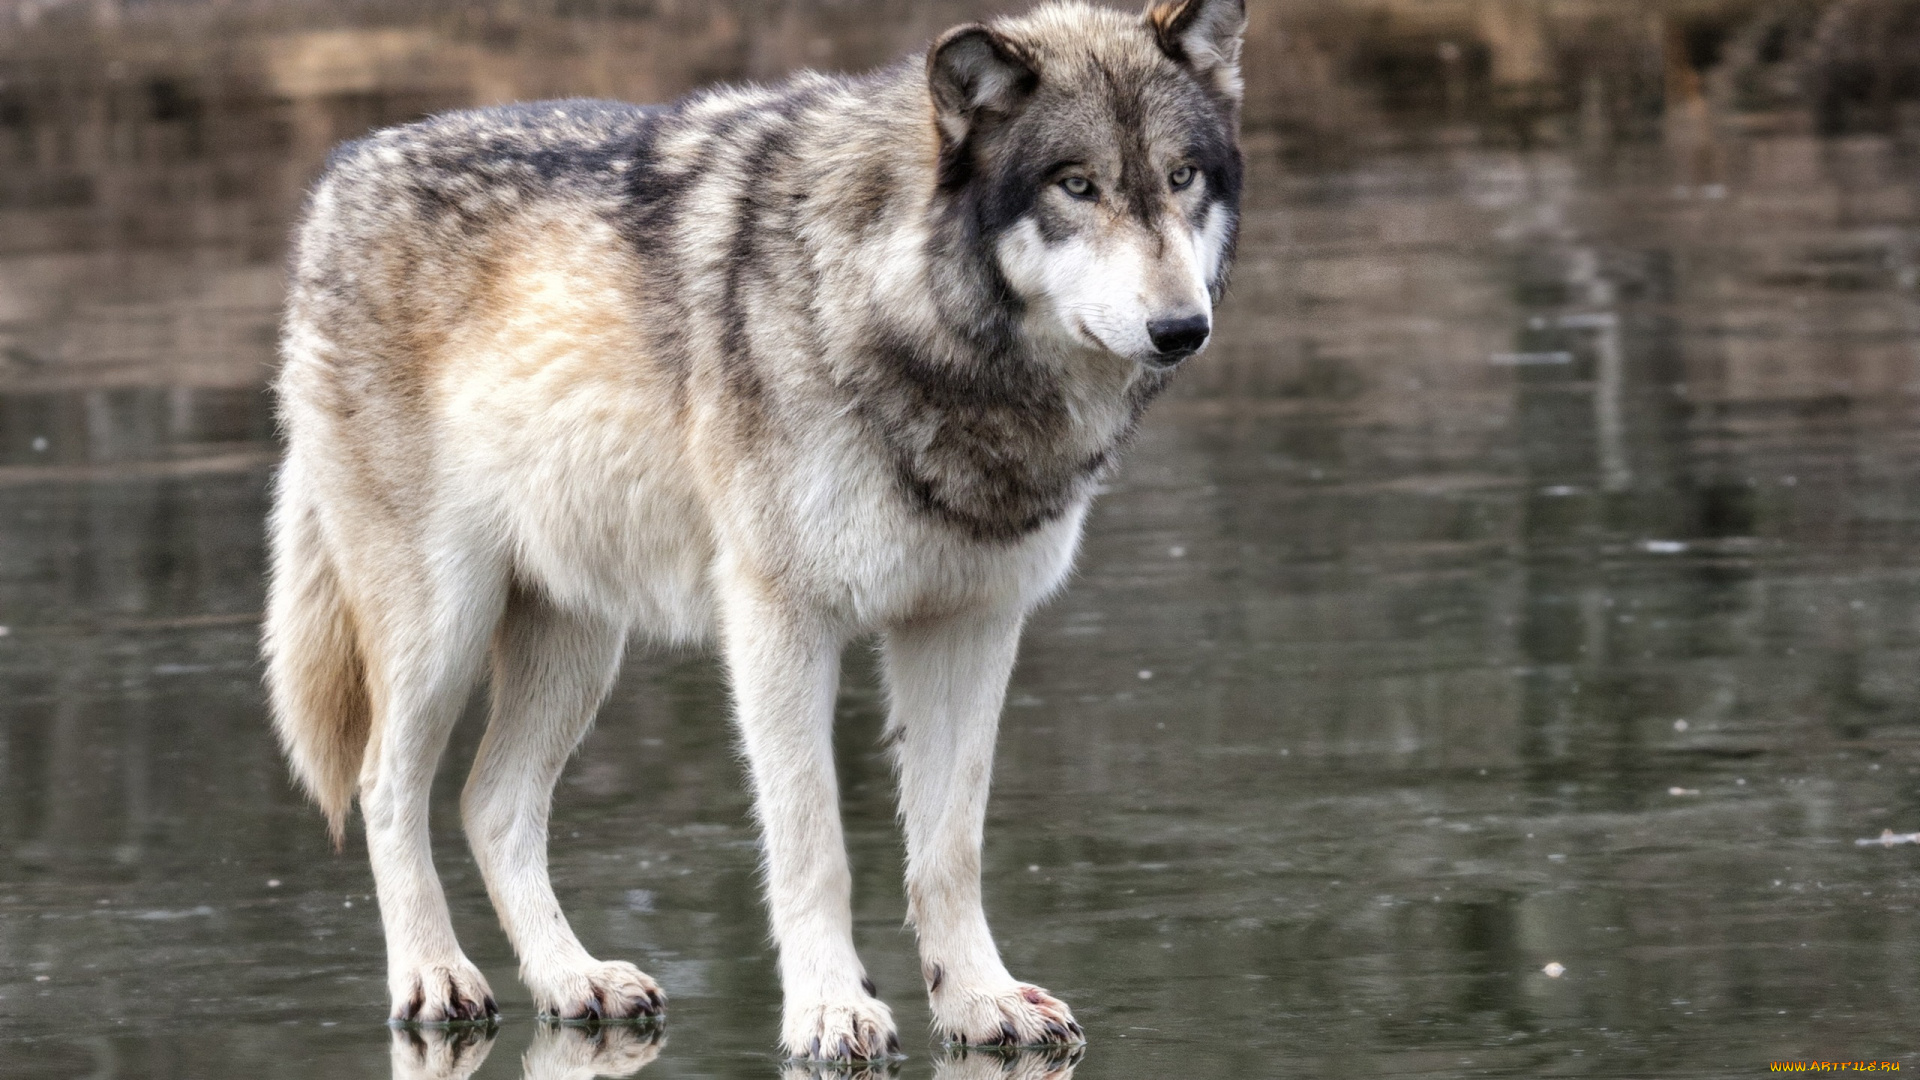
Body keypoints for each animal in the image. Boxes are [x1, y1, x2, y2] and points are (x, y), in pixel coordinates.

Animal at [266, 0, 1244, 1060]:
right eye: (1077, 184)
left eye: (1182, 177)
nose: (1183, 329)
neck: (916, 320)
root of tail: (342, 172)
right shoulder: (782, 622)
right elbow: (814, 843)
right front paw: (830, 1010)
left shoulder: (972, 623)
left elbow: (952, 846)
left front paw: (980, 1001)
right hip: (441, 629)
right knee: (386, 788)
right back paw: (433, 977)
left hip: (578, 643)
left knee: (491, 804)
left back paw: (574, 979)